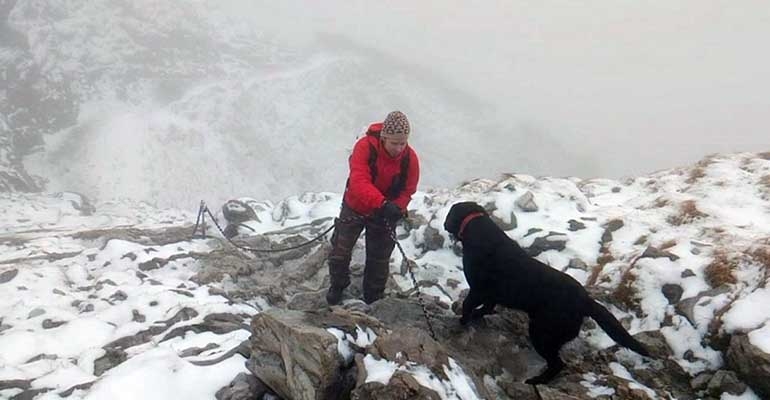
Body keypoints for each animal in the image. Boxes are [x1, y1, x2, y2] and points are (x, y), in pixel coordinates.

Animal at [444, 202, 648, 386]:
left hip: (542, 333)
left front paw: (462, 321)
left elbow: (468, 305)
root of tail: (586, 301)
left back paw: (536, 380)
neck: (477, 228)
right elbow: (487, 307)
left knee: (557, 364)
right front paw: (476, 315)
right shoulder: (490, 294)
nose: (445, 224)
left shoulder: (477, 289)